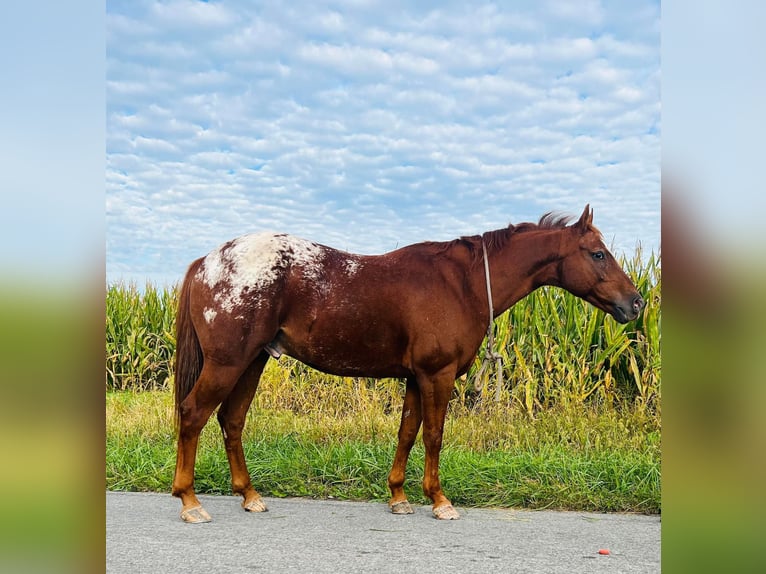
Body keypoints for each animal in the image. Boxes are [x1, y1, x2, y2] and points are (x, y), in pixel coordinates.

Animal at [171, 205, 644, 524]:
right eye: (598, 253)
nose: (636, 303)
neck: (464, 284)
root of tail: (207, 261)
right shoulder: (438, 375)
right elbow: (433, 436)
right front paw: (440, 501)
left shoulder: (416, 378)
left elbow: (407, 434)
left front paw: (398, 498)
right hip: (228, 363)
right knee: (194, 414)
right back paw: (190, 502)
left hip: (252, 362)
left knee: (231, 421)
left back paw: (249, 495)